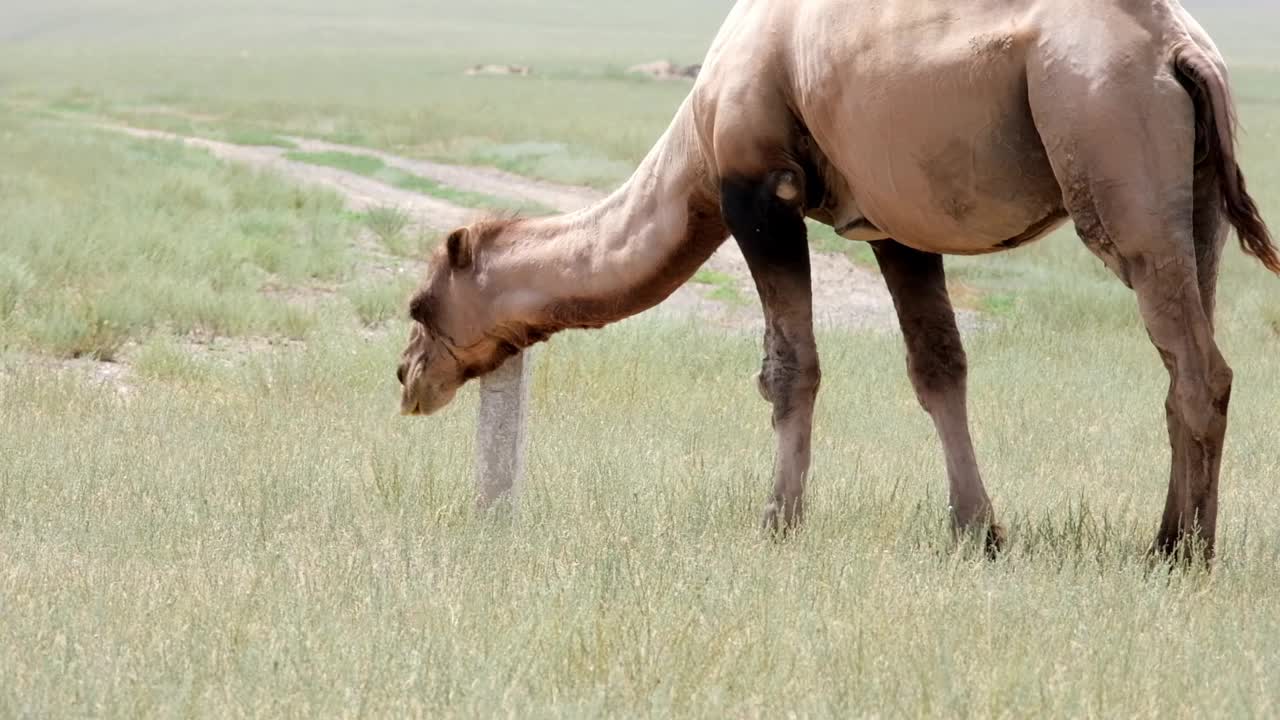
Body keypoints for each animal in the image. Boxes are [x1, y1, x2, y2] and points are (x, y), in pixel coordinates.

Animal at [394, 0, 1274, 558]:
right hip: (1192, 194)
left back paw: (1182, 553)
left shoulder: (759, 190)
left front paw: (776, 525)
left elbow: (790, 368)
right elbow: (939, 368)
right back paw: (1167, 537)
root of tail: (1180, 48)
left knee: (1198, 366)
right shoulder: (893, 224)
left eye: (419, 302)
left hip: (1107, 135)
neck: (696, 145)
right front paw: (978, 533)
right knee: (1185, 359)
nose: (406, 378)